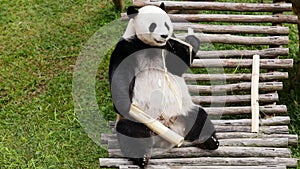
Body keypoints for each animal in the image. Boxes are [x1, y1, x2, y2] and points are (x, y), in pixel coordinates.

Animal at [109, 3, 219, 168]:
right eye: (153, 25)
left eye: (166, 24)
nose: (164, 36)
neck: (149, 46)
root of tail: (169, 131)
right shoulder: (126, 47)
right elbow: (119, 75)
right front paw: (122, 103)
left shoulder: (167, 49)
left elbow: (178, 66)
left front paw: (190, 41)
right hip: (140, 120)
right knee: (129, 131)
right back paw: (142, 157)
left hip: (184, 111)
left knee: (200, 117)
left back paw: (210, 140)